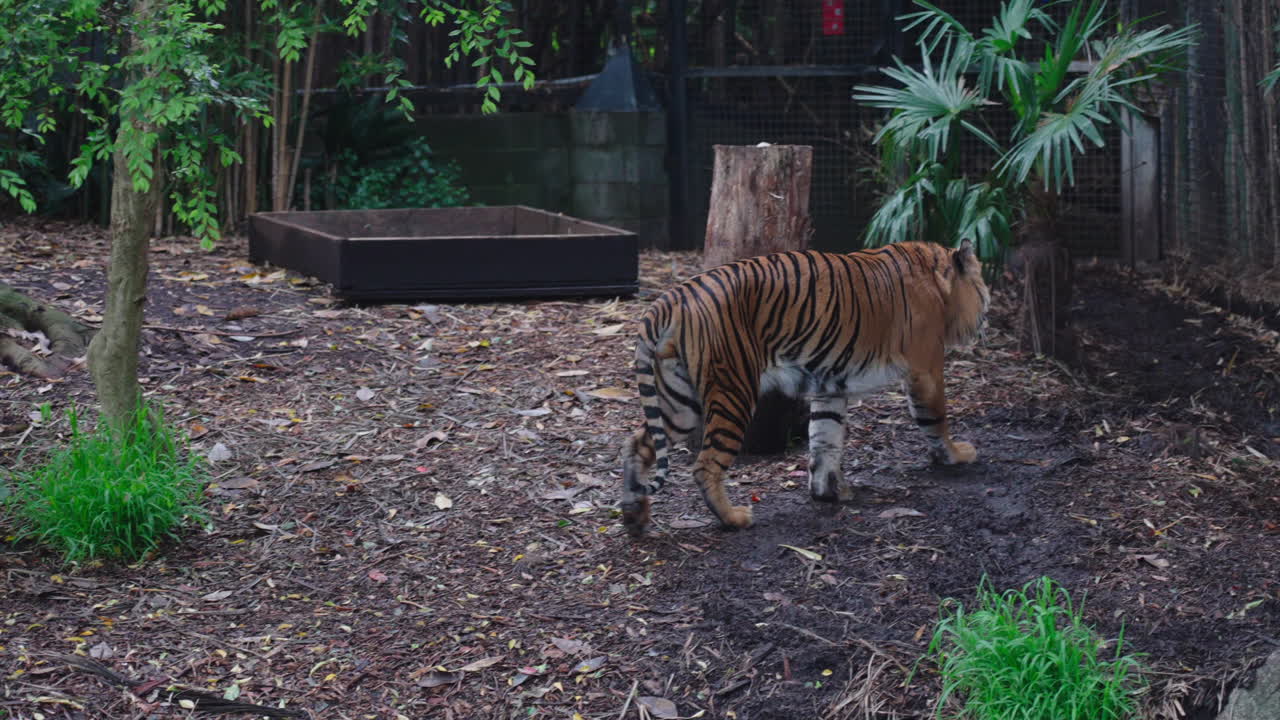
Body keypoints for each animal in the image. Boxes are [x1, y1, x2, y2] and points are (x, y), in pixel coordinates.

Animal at [620, 239, 990, 536]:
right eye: (983, 287)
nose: (987, 315)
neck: (940, 281)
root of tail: (672, 296)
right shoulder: (925, 369)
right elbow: (936, 419)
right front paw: (956, 454)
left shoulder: (831, 384)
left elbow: (825, 438)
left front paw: (828, 492)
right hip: (732, 391)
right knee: (705, 465)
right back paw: (734, 518)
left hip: (680, 402)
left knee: (639, 443)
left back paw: (634, 515)